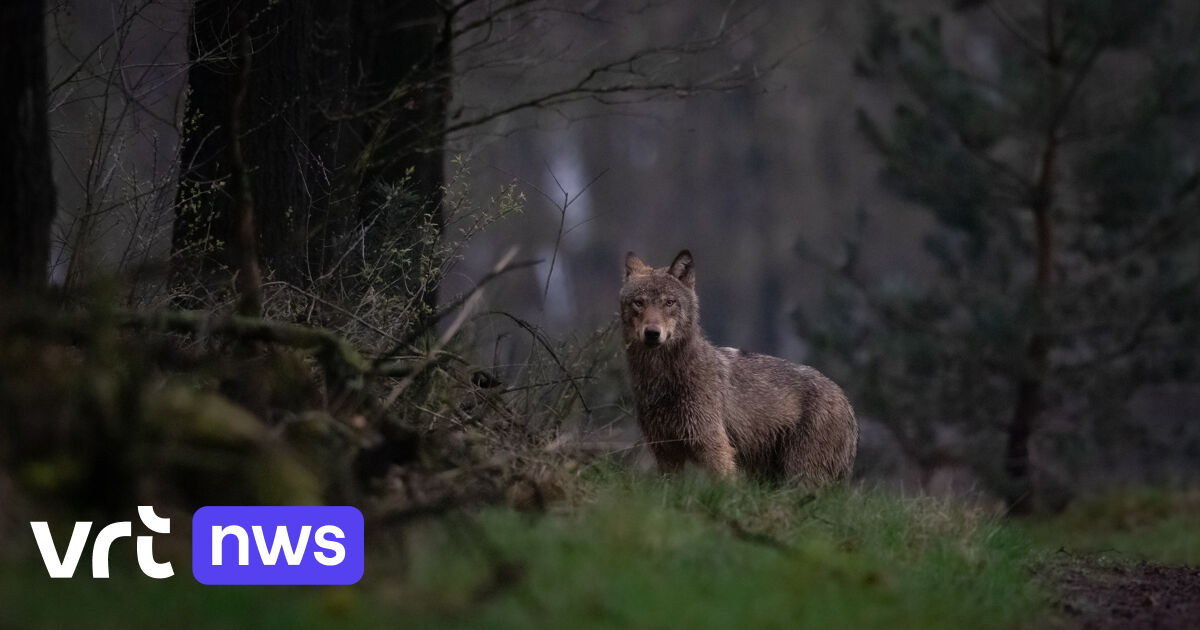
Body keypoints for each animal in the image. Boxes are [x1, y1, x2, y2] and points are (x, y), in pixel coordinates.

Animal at [624, 248, 859, 484]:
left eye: (669, 302)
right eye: (639, 303)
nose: (652, 333)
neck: (661, 379)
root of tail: (846, 401)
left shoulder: (714, 446)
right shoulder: (665, 452)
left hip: (800, 475)